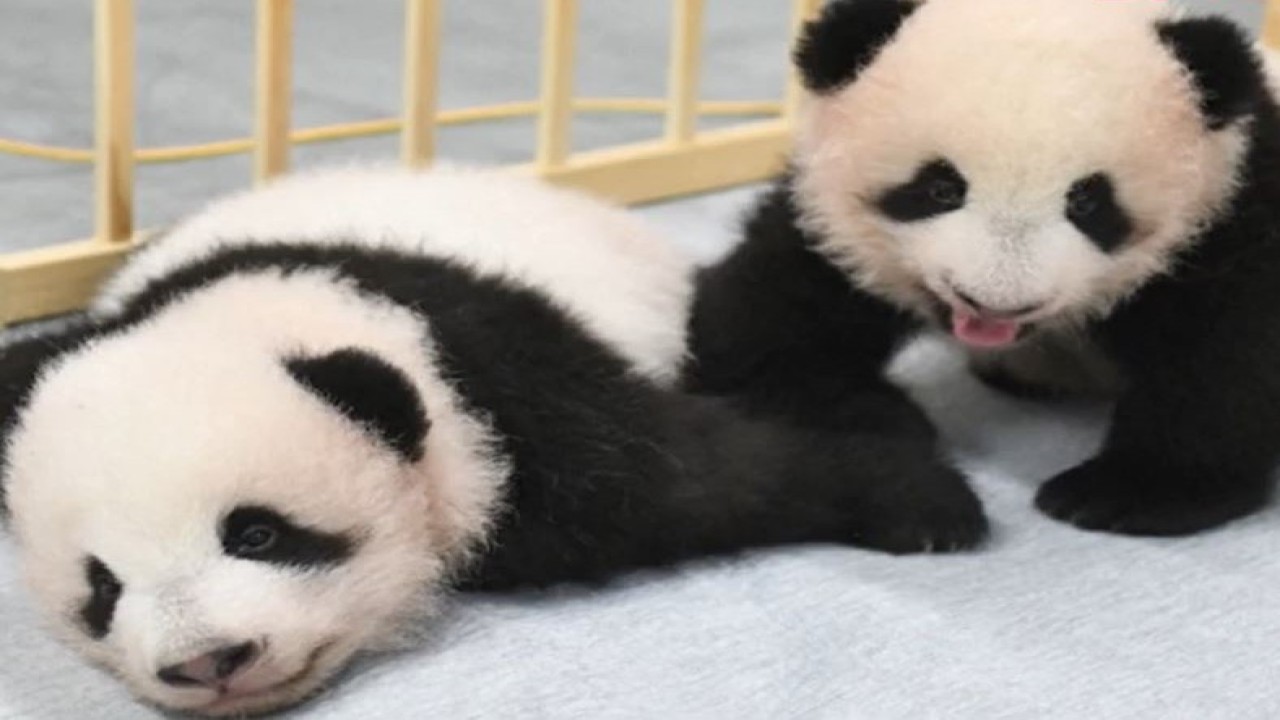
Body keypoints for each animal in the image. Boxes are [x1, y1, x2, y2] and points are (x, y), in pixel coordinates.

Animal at [0, 166, 985, 716]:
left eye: (258, 532)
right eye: (102, 589)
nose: (206, 661)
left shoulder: (507, 383)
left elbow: (701, 478)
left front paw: (922, 500)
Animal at [687, 0, 1280, 537]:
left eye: (1088, 201)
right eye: (940, 187)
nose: (996, 302)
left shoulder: (1230, 214)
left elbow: (1226, 355)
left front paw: (1127, 492)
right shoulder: (828, 228)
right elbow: (753, 337)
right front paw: (887, 423)